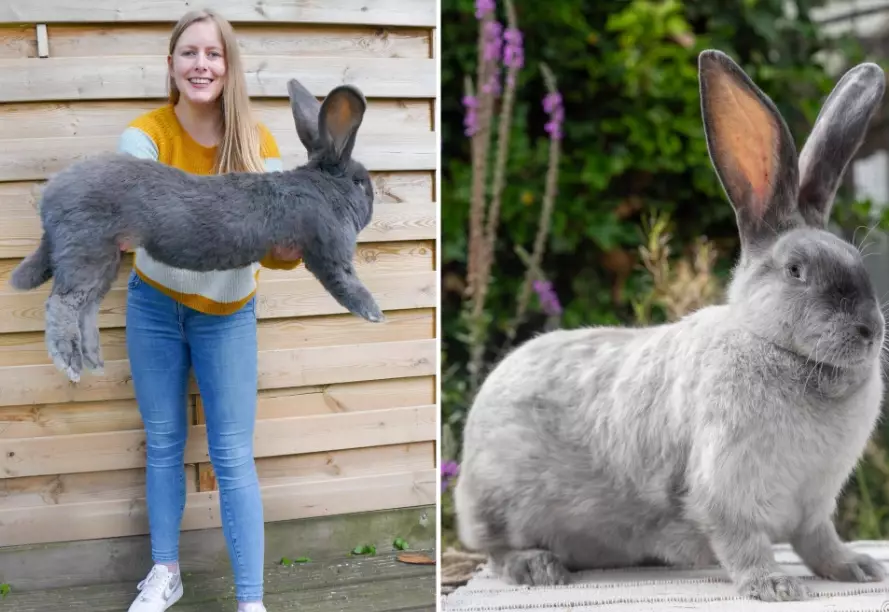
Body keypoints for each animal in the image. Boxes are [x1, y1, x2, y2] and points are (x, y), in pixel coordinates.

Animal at [8, 78, 384, 384]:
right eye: (360, 182)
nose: (373, 202)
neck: (322, 188)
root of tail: (51, 196)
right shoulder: (330, 252)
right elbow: (346, 284)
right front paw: (375, 313)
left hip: (103, 261)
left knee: (86, 308)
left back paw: (94, 362)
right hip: (86, 249)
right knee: (61, 303)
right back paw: (69, 364)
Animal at [453, 49, 889, 603]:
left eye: (857, 261)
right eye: (796, 270)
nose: (870, 331)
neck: (772, 343)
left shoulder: (814, 505)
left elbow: (820, 543)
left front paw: (856, 567)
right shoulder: (723, 491)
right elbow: (743, 543)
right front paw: (772, 586)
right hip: (500, 505)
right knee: (494, 553)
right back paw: (538, 567)